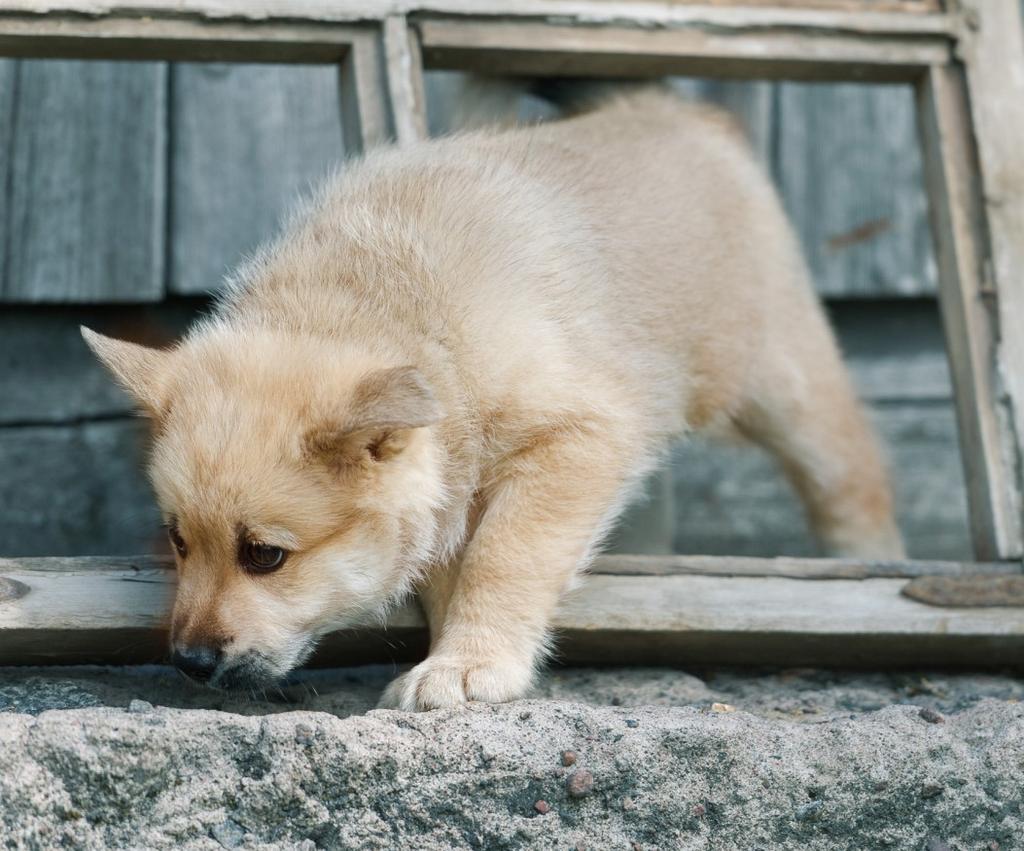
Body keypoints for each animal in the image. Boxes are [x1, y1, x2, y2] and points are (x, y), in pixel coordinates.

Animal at [86, 88, 905, 712]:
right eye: (178, 540)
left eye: (264, 555)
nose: (189, 662)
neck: (402, 305)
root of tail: (693, 116)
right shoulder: (451, 481)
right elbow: (453, 566)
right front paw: (454, 653)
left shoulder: (578, 437)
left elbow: (504, 557)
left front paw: (472, 662)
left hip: (790, 387)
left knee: (854, 482)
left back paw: (873, 572)